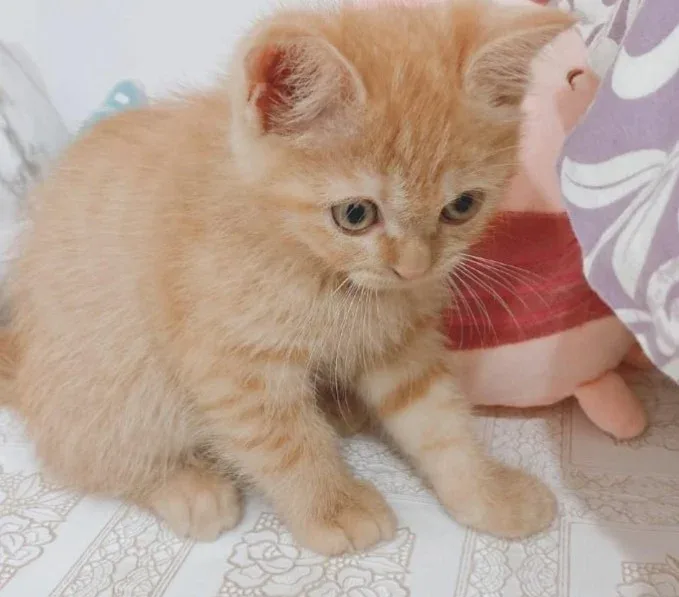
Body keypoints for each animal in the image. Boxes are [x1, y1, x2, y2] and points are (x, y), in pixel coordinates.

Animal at [2, 0, 572, 556]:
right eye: (355, 214)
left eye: (462, 206)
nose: (413, 267)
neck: (320, 269)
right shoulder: (231, 363)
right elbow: (284, 442)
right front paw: (334, 508)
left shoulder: (400, 342)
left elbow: (440, 423)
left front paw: (488, 493)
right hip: (118, 385)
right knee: (86, 455)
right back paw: (186, 487)